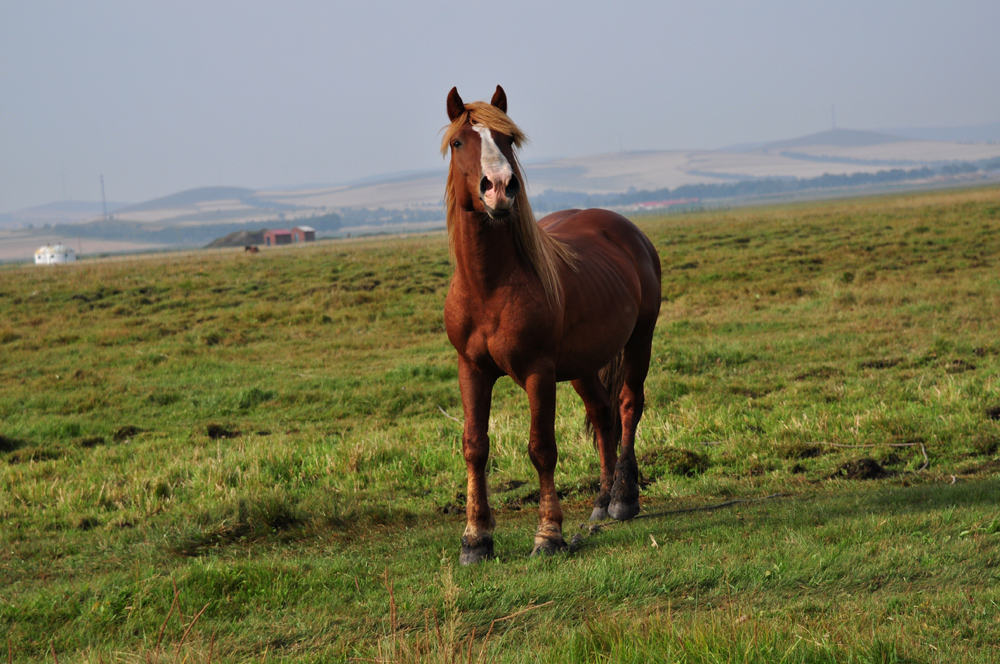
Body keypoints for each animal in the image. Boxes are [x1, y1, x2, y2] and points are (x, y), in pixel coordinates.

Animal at [440, 84, 660, 564]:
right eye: (459, 142)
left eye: (508, 140)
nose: (500, 188)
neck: (489, 285)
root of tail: (625, 229)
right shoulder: (472, 369)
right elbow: (474, 447)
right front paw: (475, 538)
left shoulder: (538, 373)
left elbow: (541, 448)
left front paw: (548, 535)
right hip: (581, 365)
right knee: (602, 414)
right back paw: (601, 500)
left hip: (640, 340)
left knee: (628, 406)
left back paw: (623, 499)